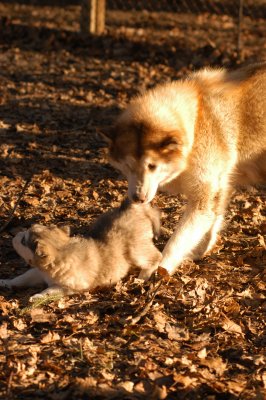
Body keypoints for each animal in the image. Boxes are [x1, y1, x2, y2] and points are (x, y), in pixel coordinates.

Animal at [0, 200, 161, 300]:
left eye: (23, 240)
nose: (15, 236)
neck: (62, 251)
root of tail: (133, 207)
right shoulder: (37, 273)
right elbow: (22, 278)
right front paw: (6, 282)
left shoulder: (67, 287)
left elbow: (48, 291)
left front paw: (38, 296)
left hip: (136, 251)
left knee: (156, 257)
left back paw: (142, 277)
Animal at [102, 62, 266, 276]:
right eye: (128, 166)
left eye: (152, 166)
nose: (137, 198)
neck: (196, 122)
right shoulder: (219, 188)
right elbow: (211, 223)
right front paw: (199, 250)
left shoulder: (203, 198)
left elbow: (176, 241)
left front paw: (158, 269)